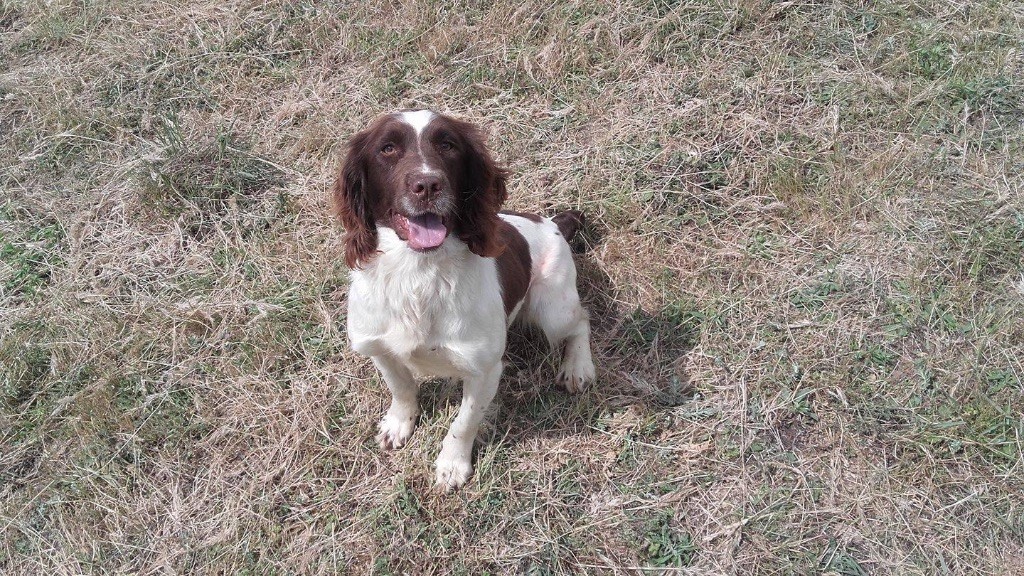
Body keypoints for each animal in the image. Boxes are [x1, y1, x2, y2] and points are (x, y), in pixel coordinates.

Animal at [331, 108, 598, 487]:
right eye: (387, 148)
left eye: (448, 144)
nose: (427, 185)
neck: (418, 273)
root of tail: (551, 221)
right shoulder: (378, 346)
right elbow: (401, 387)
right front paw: (399, 424)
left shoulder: (484, 369)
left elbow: (464, 422)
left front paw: (452, 465)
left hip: (552, 309)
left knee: (581, 321)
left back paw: (577, 366)